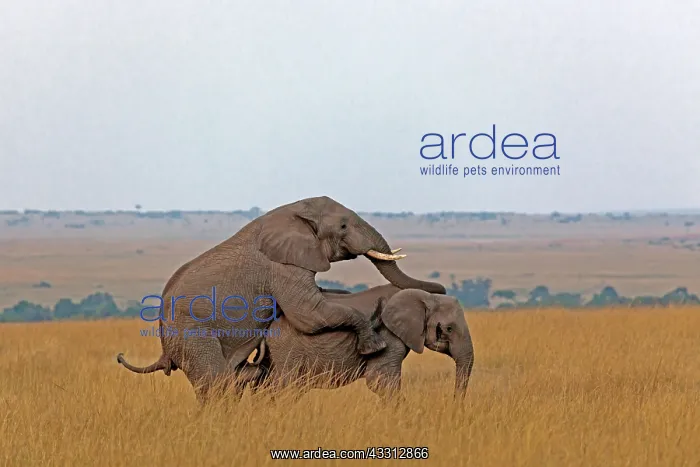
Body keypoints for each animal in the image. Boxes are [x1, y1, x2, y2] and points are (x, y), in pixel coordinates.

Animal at [116, 196, 446, 404]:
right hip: (192, 335)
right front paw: (373, 344)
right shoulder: (282, 266)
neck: (296, 212)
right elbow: (309, 314)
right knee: (216, 383)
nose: (441, 289)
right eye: (342, 226)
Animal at [240, 284, 475, 402]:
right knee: (284, 386)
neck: (426, 297)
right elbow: (381, 382)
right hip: (286, 349)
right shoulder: (388, 337)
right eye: (448, 329)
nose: (453, 403)